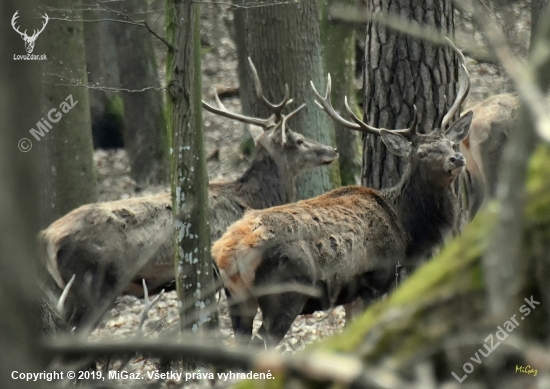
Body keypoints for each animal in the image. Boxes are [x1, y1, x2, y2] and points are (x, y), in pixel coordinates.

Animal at [38, 59, 338, 322]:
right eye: (298, 140)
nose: (332, 150)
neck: (250, 198)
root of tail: (47, 237)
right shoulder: (218, 270)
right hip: (93, 285)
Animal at [211, 44, 474, 344]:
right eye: (421, 153)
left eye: (451, 143)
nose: (456, 159)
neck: (408, 233)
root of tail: (226, 251)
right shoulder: (376, 280)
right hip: (285, 294)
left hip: (237, 298)